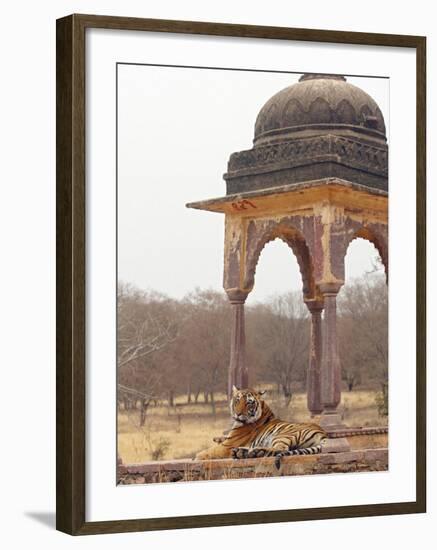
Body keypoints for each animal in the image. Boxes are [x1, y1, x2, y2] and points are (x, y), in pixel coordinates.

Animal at [195, 386, 328, 472]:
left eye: (249, 403)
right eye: (237, 400)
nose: (238, 414)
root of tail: (323, 433)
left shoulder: (227, 445)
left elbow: (208, 451)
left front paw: (196, 457)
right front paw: (216, 438)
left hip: (282, 435)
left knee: (280, 449)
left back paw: (254, 452)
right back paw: (242, 452)